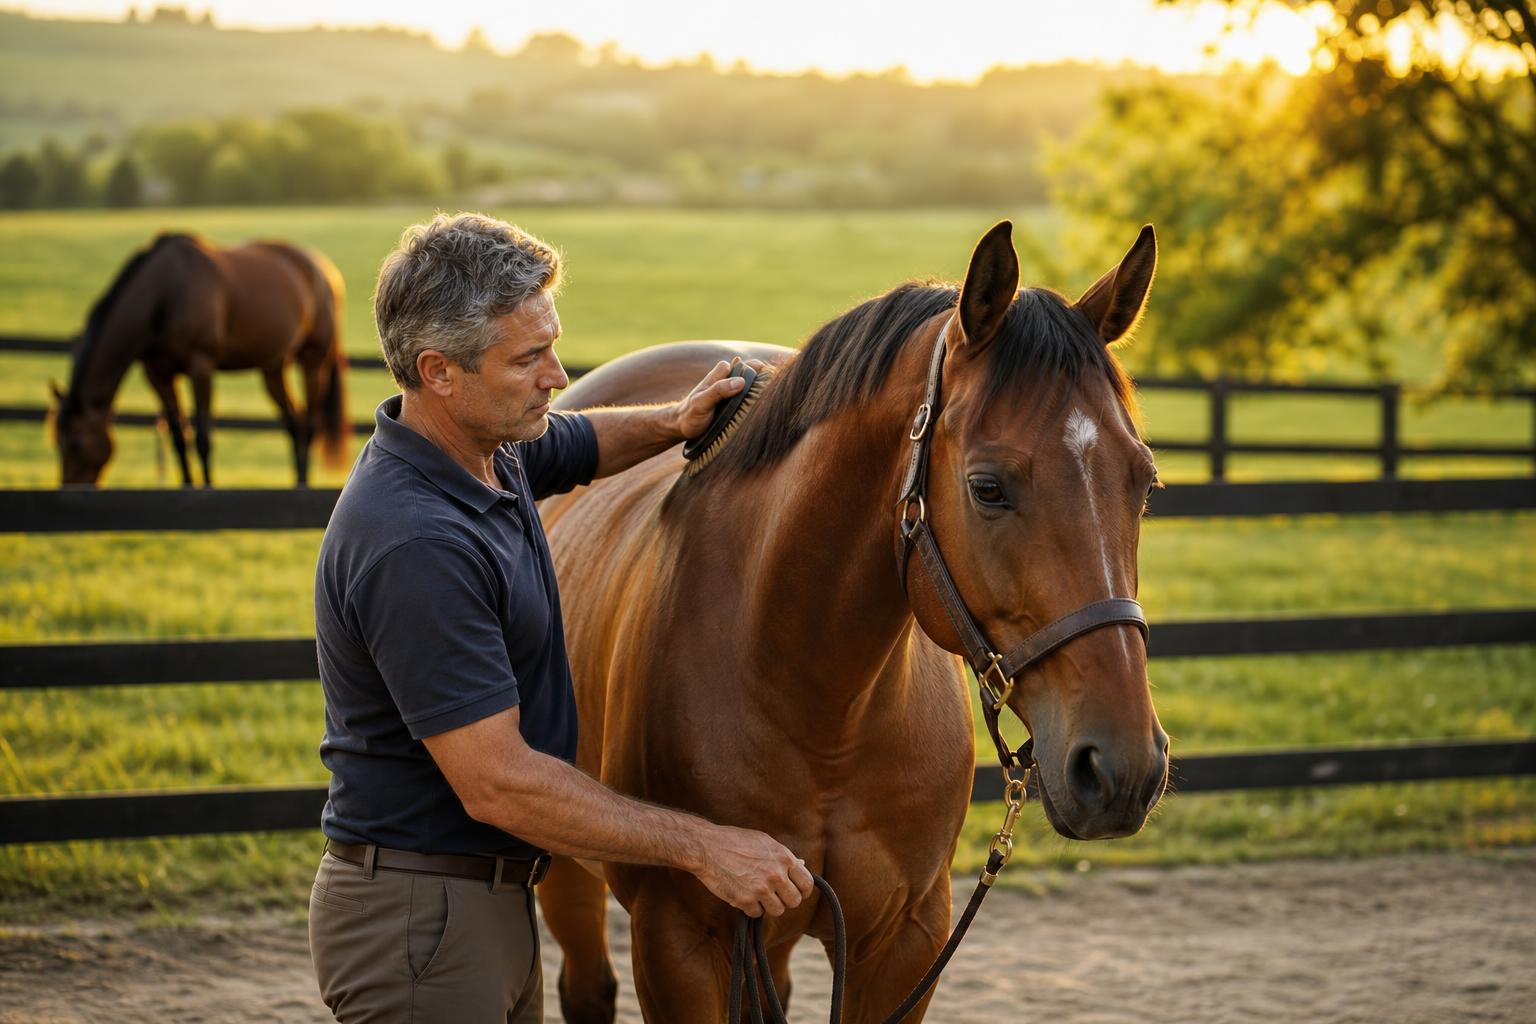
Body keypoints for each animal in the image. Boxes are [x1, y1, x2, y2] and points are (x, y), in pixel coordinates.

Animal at [50, 232, 349, 487]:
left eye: (76, 443)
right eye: (57, 443)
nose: (69, 488)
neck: (165, 293)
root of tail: (324, 269)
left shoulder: (200, 366)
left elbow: (203, 437)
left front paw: (206, 488)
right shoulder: (157, 373)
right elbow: (178, 437)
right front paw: (187, 485)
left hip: (313, 360)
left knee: (310, 423)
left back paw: (304, 483)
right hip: (273, 367)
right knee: (294, 422)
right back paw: (297, 479)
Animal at [537, 221, 1170, 1022]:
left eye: (1143, 483)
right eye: (988, 488)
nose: (1122, 769)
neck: (822, 704)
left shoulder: (905, 939)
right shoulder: (676, 941)